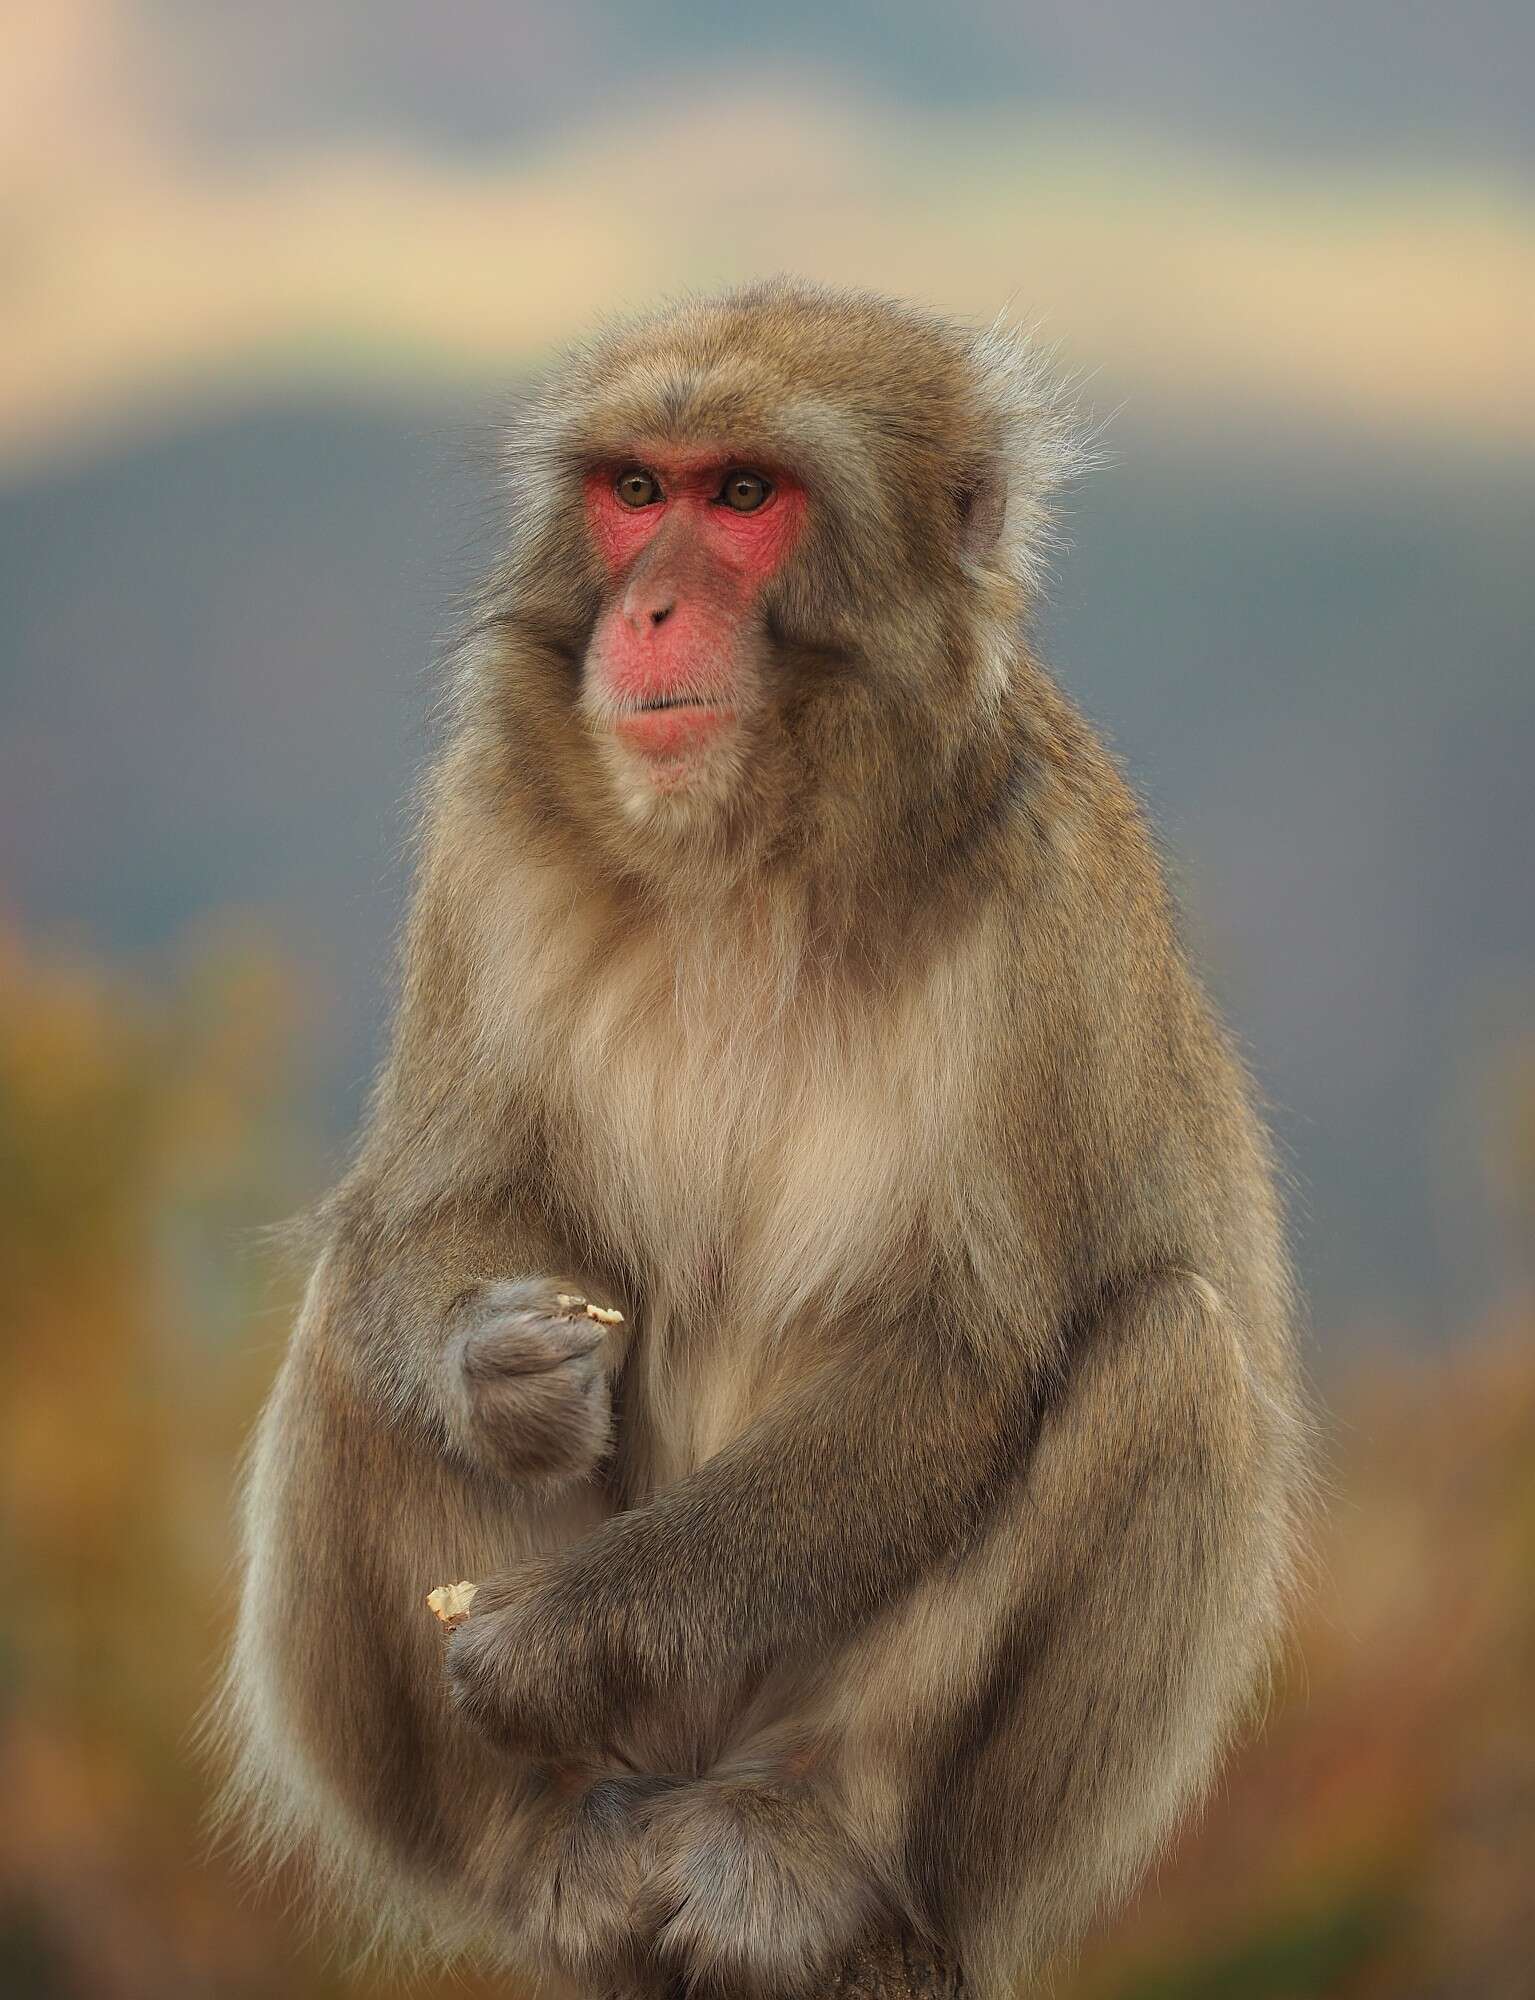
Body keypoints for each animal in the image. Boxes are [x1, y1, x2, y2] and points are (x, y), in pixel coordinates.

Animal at [224, 282, 1311, 2000]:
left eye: (743, 496)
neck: (748, 854)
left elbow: (974, 1350)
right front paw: (504, 1369)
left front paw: (569, 1633)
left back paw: (808, 1848)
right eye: (634, 492)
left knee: (1168, 1351)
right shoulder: (482, 830)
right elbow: (430, 1211)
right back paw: (547, 1839)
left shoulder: (1048, 888)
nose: (651, 613)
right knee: (349, 1314)